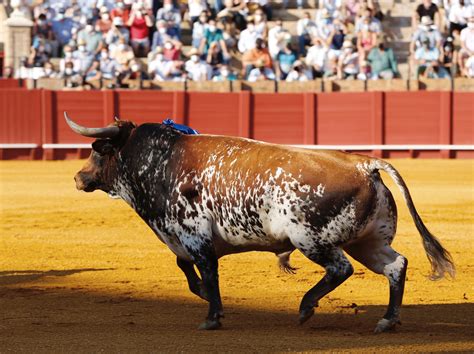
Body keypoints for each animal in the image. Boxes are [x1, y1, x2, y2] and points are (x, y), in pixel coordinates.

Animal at [65, 112, 454, 332]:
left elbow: (205, 273)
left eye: (97, 152)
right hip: (368, 242)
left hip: (312, 239)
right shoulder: (182, 240)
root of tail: (363, 164)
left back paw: (306, 307)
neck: (162, 163)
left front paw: (212, 316)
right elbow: (187, 271)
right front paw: (207, 300)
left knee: (341, 268)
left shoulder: (194, 238)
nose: (78, 178)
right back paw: (387, 320)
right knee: (396, 266)